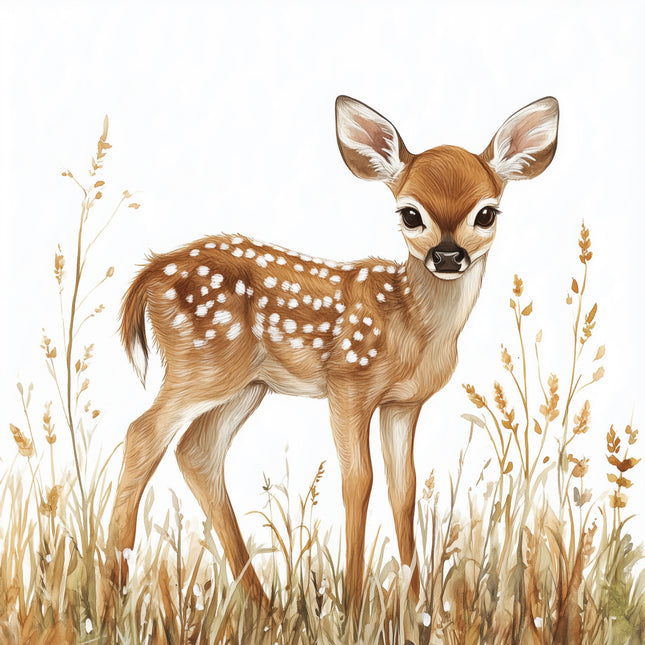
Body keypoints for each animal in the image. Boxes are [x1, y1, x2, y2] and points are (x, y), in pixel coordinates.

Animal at [105, 95, 559, 616]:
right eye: (410, 214)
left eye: (487, 213)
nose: (448, 256)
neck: (411, 324)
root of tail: (151, 272)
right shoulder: (349, 382)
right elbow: (358, 481)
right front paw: (354, 606)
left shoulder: (404, 403)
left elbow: (404, 489)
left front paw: (418, 608)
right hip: (201, 363)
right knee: (143, 433)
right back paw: (113, 589)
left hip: (247, 384)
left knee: (197, 450)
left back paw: (262, 604)